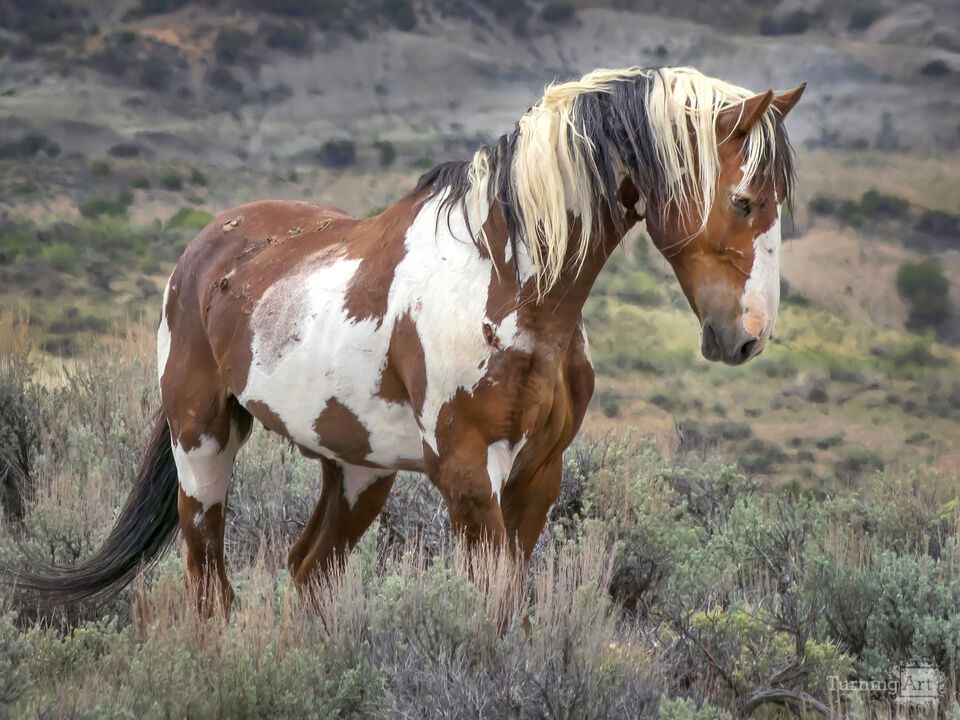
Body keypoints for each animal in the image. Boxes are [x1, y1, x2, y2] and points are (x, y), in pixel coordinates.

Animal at [14, 66, 804, 617]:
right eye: (743, 202)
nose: (747, 339)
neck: (511, 283)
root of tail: (205, 249)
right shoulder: (469, 478)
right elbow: (496, 614)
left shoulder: (537, 478)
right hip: (202, 441)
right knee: (210, 583)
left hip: (358, 469)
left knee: (309, 571)